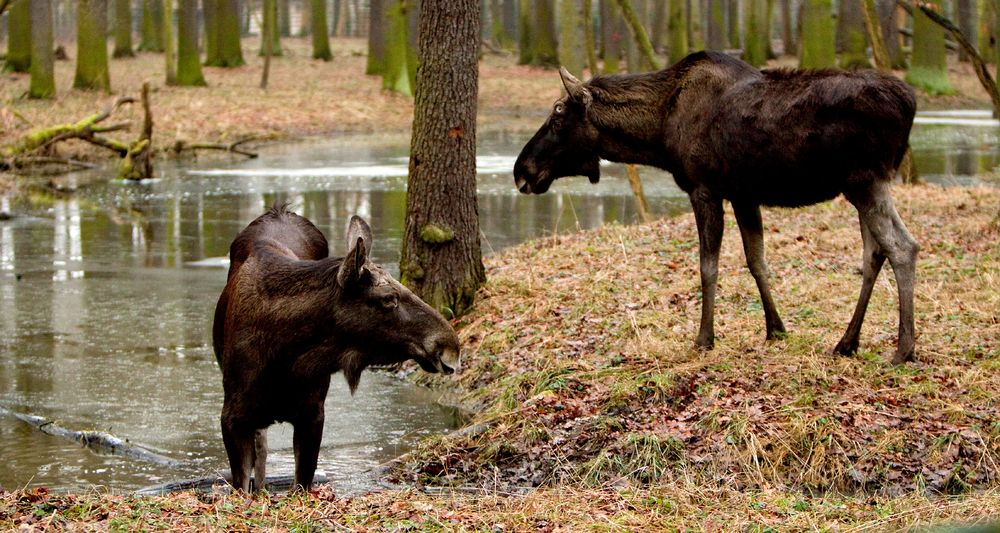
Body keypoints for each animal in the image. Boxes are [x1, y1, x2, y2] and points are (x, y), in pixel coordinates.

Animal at [516, 52, 920, 364]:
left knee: (903, 247)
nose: (522, 170)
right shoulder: (744, 195)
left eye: (557, 115)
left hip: (864, 181)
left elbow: (707, 267)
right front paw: (776, 328)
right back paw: (847, 342)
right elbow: (757, 260)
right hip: (864, 186)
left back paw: (903, 349)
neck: (658, 134)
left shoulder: (704, 189)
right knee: (874, 253)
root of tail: (911, 102)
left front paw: (704, 338)